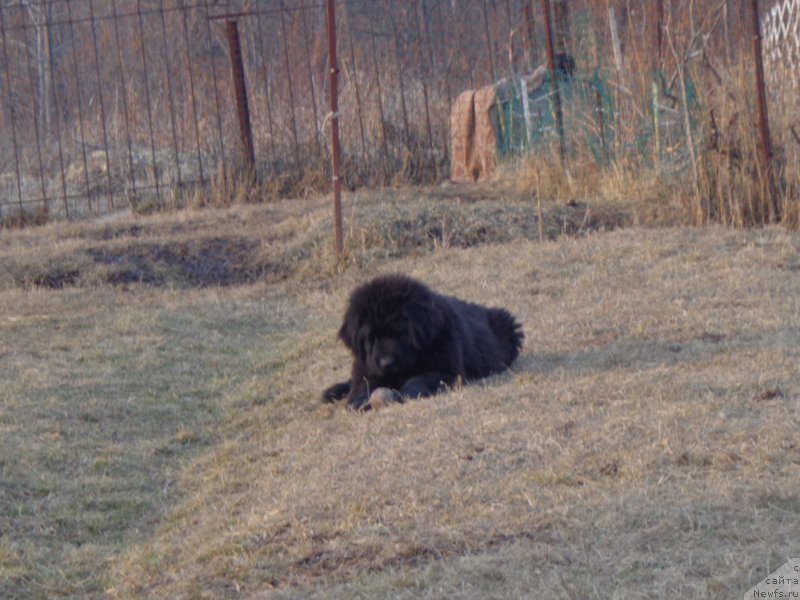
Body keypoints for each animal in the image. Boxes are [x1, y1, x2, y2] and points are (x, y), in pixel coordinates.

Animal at [322, 274, 520, 410]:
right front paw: (358, 400)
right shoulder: (367, 367)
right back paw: (332, 391)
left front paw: (401, 394)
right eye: (371, 337)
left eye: (400, 333)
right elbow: (364, 384)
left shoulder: (444, 371)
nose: (386, 363)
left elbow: (417, 381)